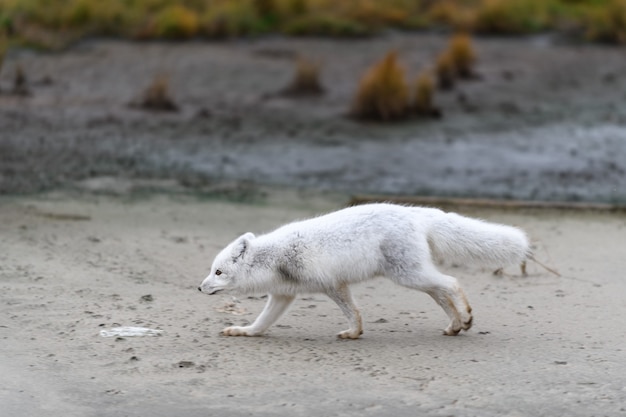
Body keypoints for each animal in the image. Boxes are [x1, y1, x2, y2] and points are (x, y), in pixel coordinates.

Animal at [197, 203, 528, 336]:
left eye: (218, 273)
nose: (199, 287)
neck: (275, 259)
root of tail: (412, 213)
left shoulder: (333, 285)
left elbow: (352, 312)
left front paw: (354, 333)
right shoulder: (283, 296)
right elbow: (262, 323)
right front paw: (244, 331)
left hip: (409, 275)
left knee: (453, 281)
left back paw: (466, 317)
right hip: (416, 276)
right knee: (442, 293)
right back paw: (456, 325)